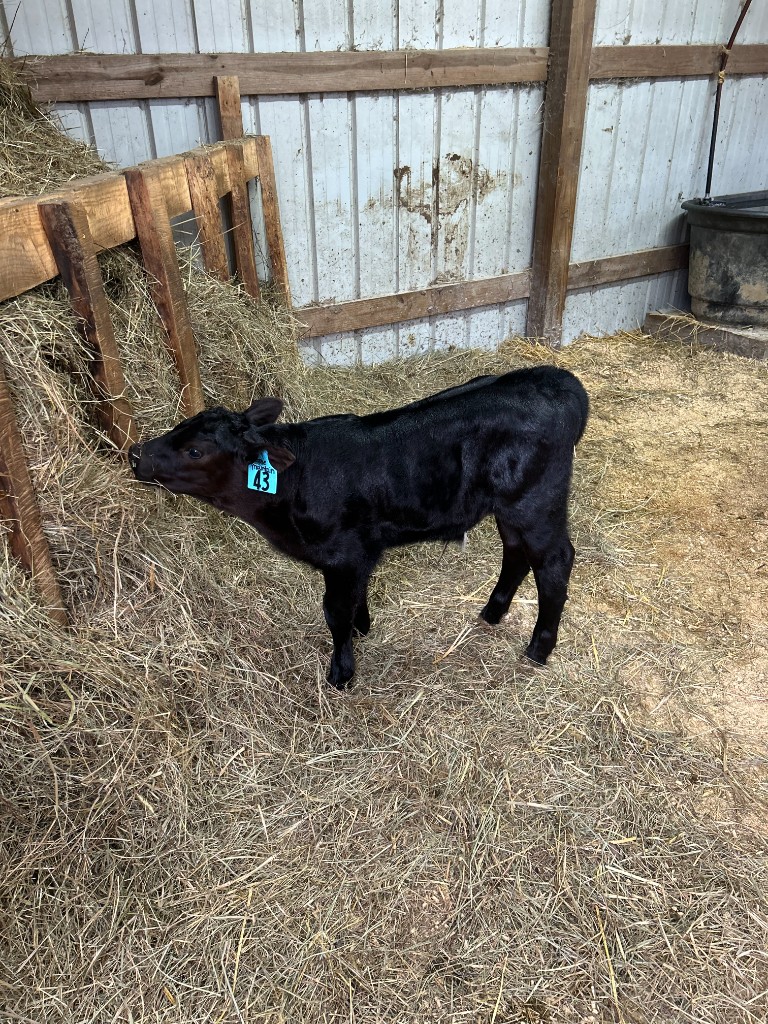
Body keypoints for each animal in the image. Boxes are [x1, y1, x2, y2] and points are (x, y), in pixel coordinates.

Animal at [129, 366, 589, 689]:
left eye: (195, 451)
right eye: (180, 425)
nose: (136, 454)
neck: (294, 482)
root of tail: (555, 377)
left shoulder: (343, 555)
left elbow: (335, 612)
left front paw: (342, 672)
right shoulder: (358, 555)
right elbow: (356, 600)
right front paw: (363, 628)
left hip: (536, 502)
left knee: (554, 562)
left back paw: (538, 648)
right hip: (509, 508)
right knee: (515, 552)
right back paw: (492, 612)